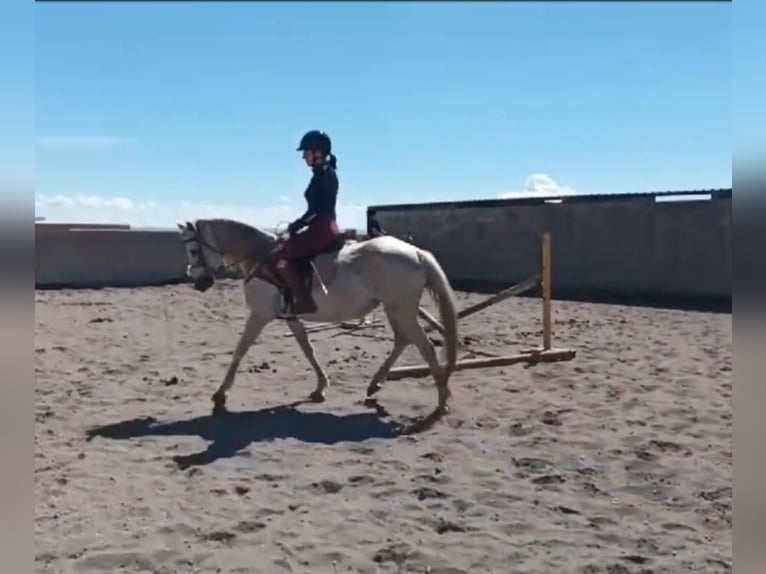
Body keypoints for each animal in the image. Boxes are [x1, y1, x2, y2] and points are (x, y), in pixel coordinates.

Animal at [177, 218, 460, 426]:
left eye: (193, 250)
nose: (199, 282)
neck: (261, 261)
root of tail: (416, 252)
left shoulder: (259, 315)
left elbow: (240, 350)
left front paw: (220, 394)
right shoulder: (290, 317)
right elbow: (307, 348)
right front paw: (320, 387)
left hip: (402, 309)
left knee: (425, 347)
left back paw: (441, 402)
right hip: (394, 308)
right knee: (402, 341)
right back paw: (375, 384)